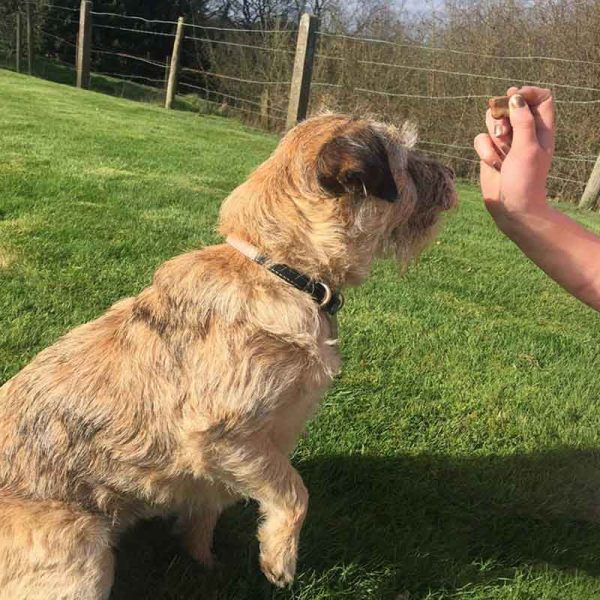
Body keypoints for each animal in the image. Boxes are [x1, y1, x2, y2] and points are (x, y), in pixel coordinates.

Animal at [0, 115, 454, 596]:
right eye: (408, 160)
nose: (450, 174)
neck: (281, 271)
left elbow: (209, 508)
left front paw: (205, 562)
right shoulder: (223, 435)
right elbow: (293, 490)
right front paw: (278, 559)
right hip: (83, 552)